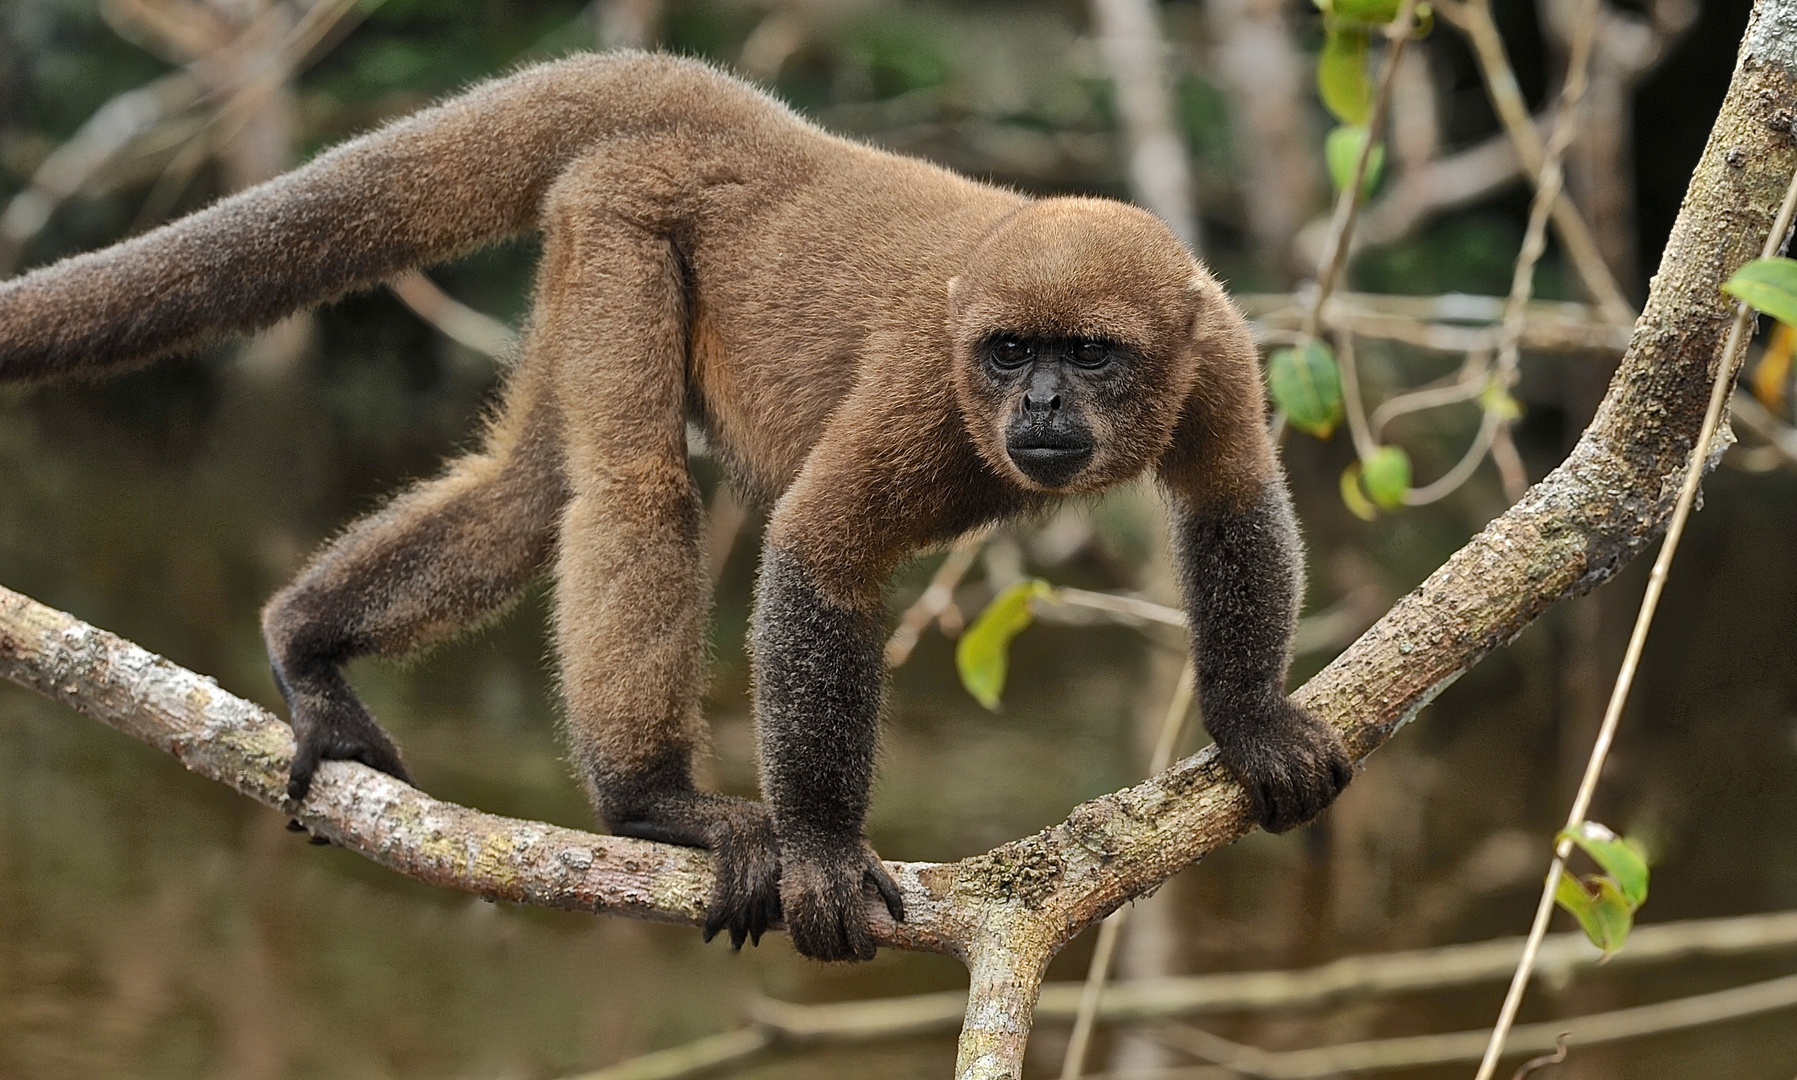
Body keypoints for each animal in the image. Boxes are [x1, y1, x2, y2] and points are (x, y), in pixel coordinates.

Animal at [0, 50, 1351, 963]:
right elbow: (818, 546)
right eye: (1011, 352)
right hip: (624, 223)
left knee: (529, 490)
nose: (1042, 406)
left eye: (1093, 353)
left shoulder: (1219, 354)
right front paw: (819, 851)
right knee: (632, 489)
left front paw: (1246, 718)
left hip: (592, 231)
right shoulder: (930, 388)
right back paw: (651, 803)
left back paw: (303, 643)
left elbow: (1232, 499)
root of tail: (735, 110)